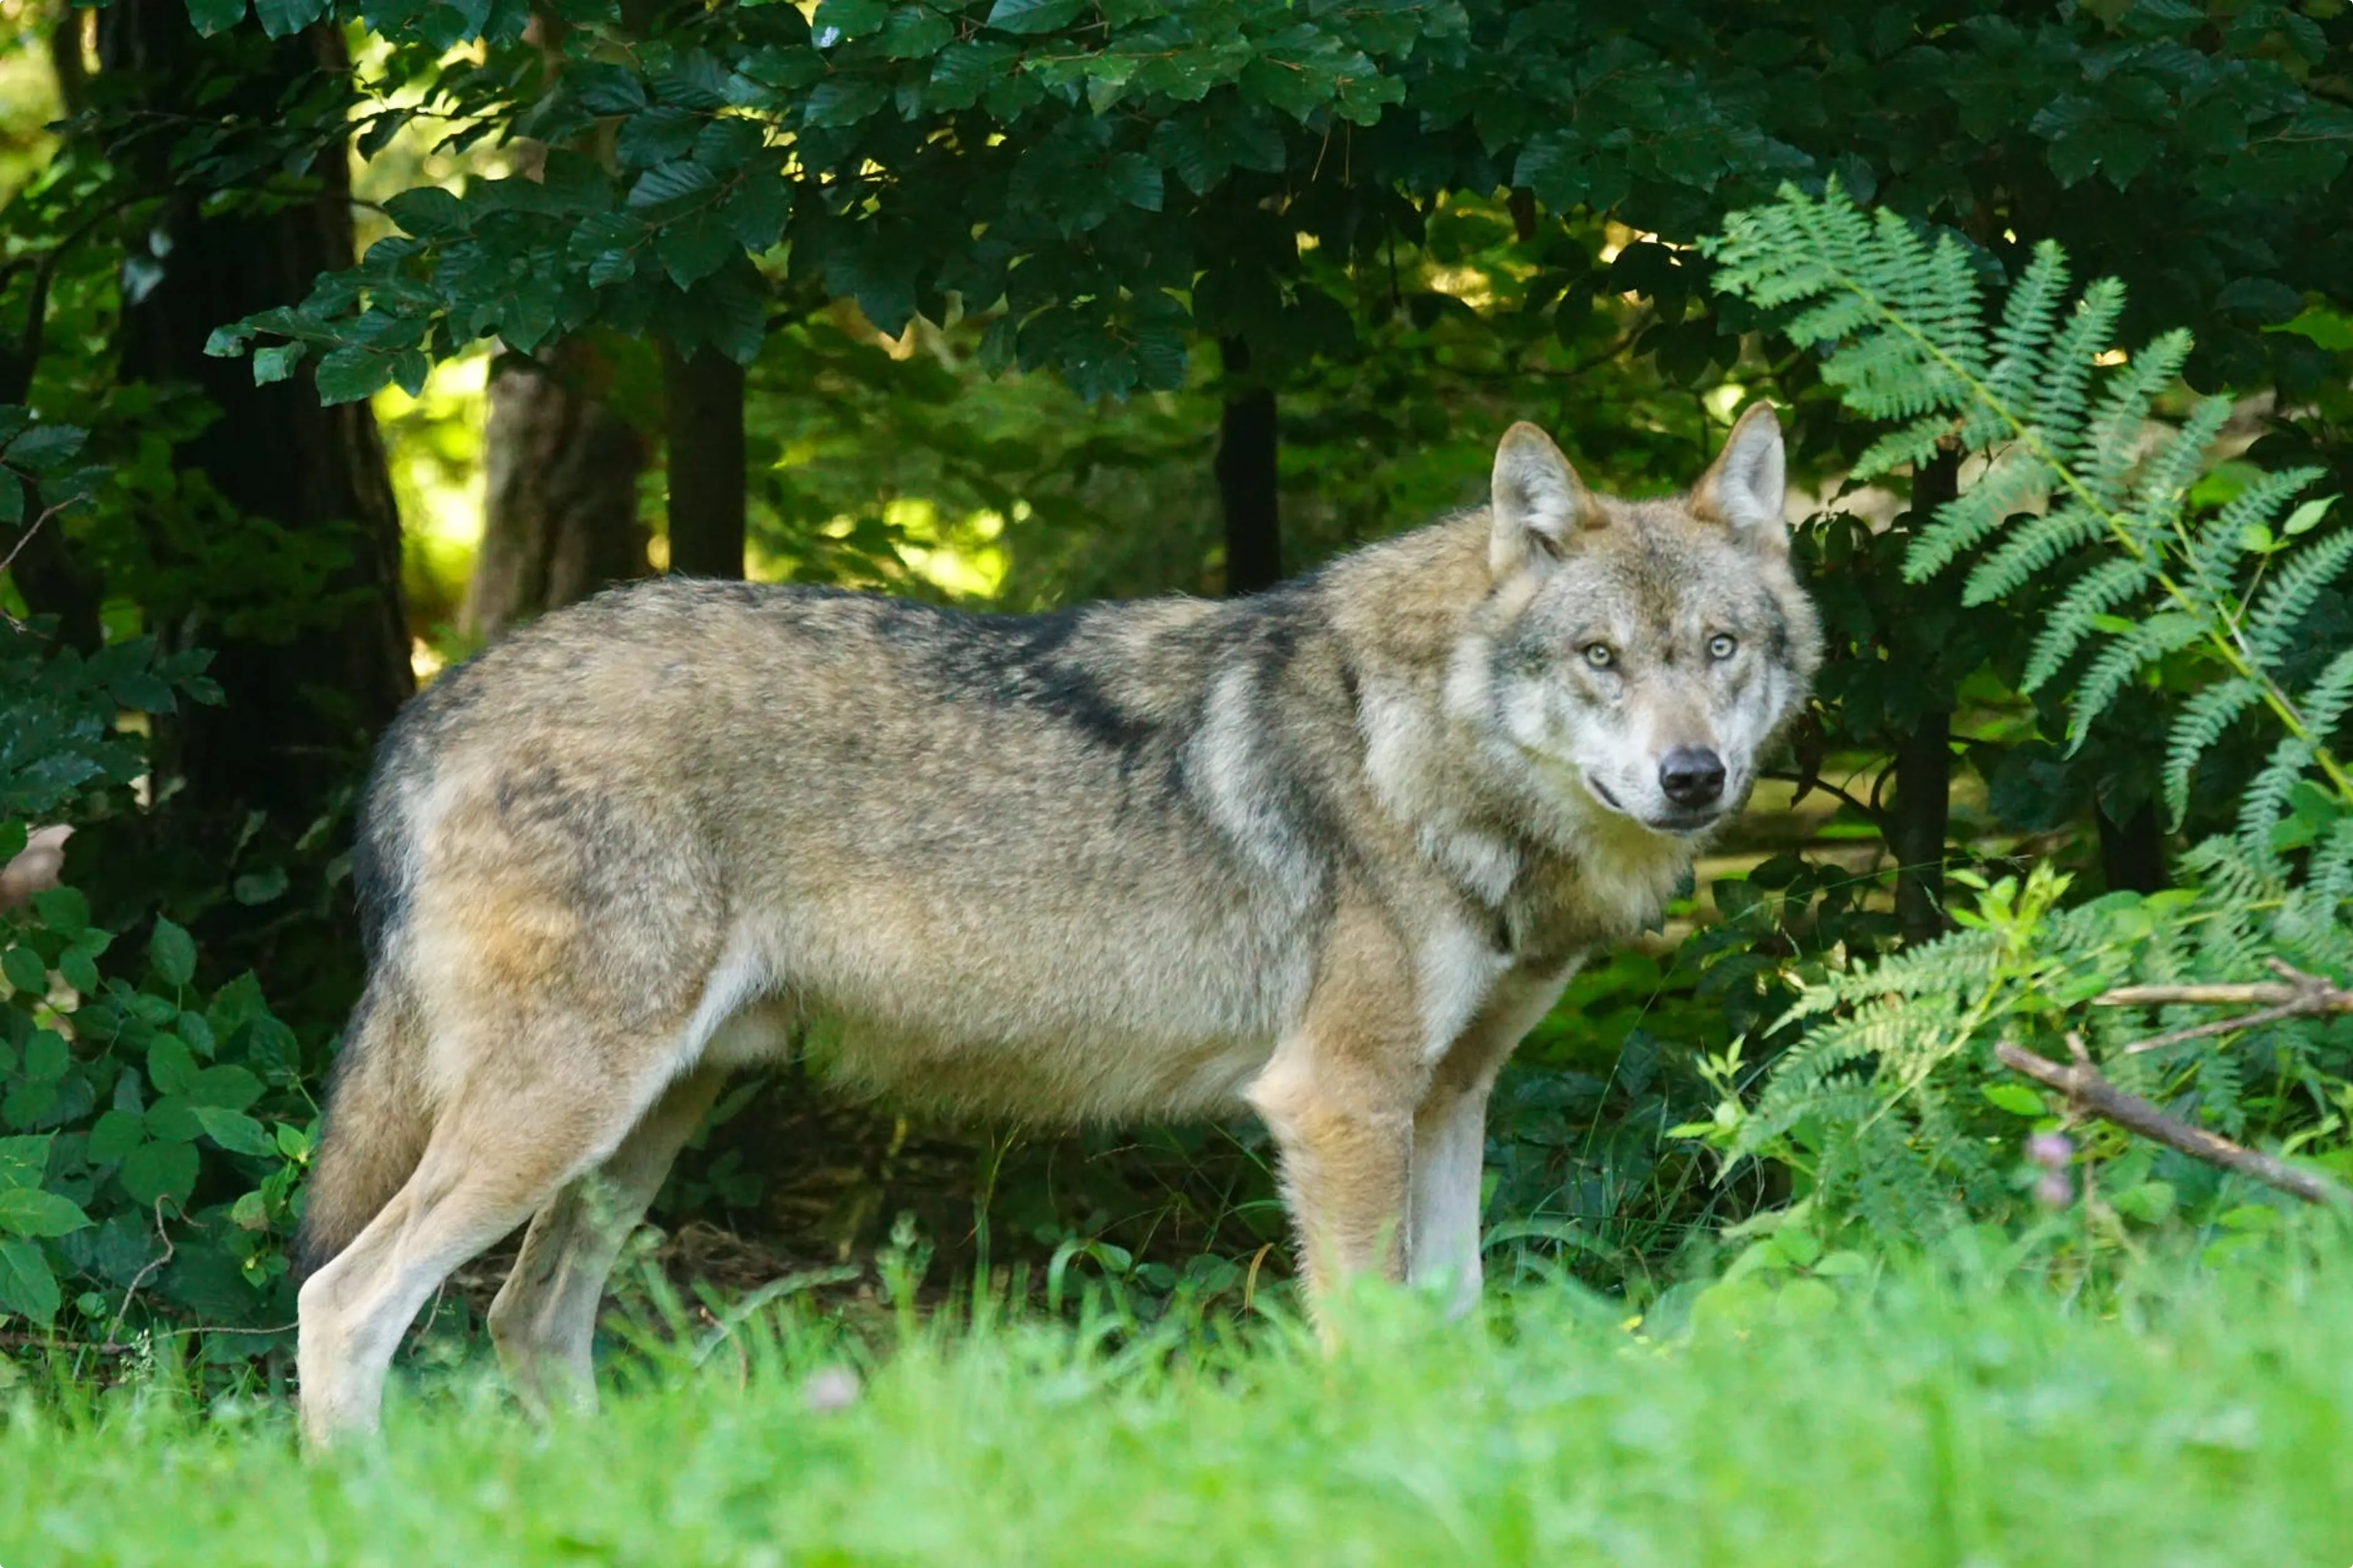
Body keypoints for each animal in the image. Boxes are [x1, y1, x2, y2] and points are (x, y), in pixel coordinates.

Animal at [293, 403, 1818, 1442]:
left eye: (1719, 650)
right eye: (1599, 658)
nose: (1694, 777)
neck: (1422, 748)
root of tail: (438, 700)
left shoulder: (1448, 1102)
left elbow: (1455, 1326)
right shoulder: (1338, 1106)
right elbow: (1369, 1342)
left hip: (642, 1125)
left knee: (526, 1319)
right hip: (566, 1113)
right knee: (345, 1301)